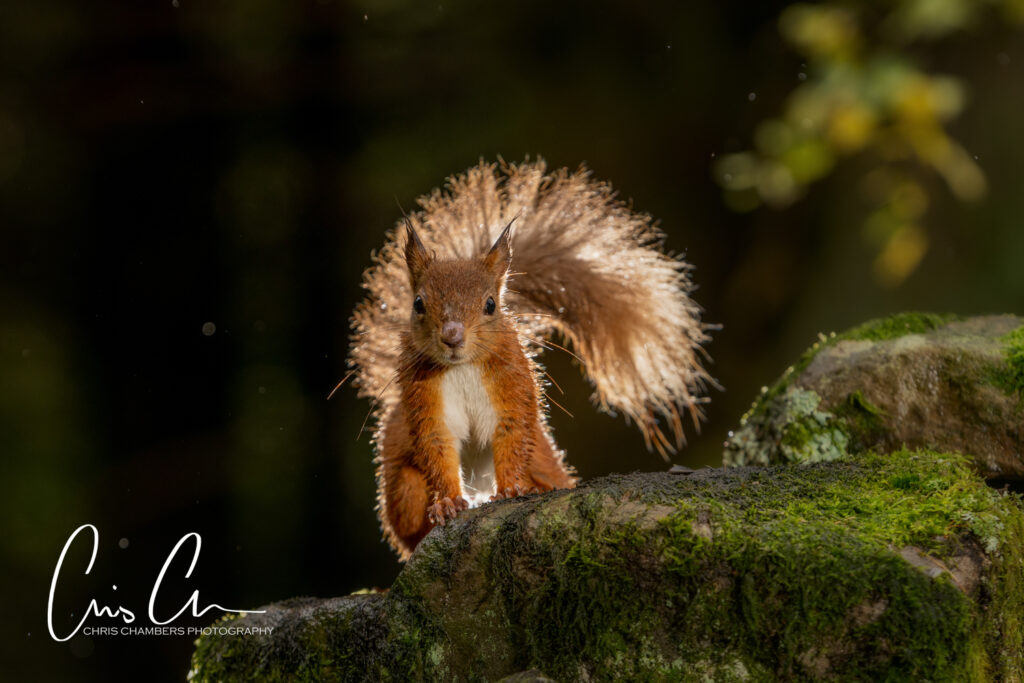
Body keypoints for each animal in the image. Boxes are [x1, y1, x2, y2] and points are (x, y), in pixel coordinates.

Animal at [348, 159, 712, 560]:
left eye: (491, 304)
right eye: (418, 304)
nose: (453, 335)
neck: (462, 367)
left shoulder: (511, 386)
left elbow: (512, 433)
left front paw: (510, 490)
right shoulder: (424, 402)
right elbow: (436, 445)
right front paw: (447, 504)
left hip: (545, 460)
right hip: (405, 489)